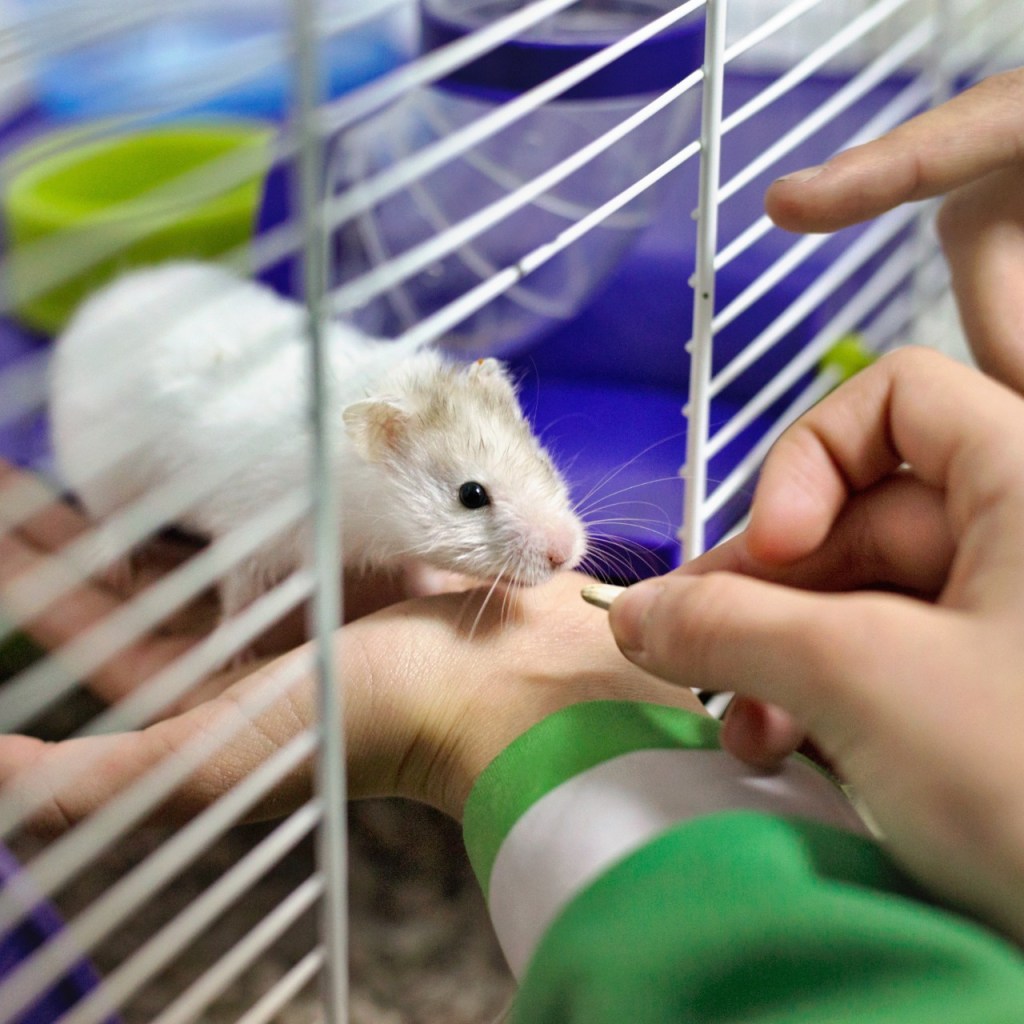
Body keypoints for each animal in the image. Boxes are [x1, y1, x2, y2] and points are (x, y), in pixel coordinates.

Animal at [49, 261, 587, 618]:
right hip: (106, 476)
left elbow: (414, 569)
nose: (566, 554)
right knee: (114, 521)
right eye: (471, 495)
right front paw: (233, 653)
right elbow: (238, 597)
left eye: (544, 461)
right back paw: (112, 565)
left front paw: (434, 582)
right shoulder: (249, 533)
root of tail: (95, 307)